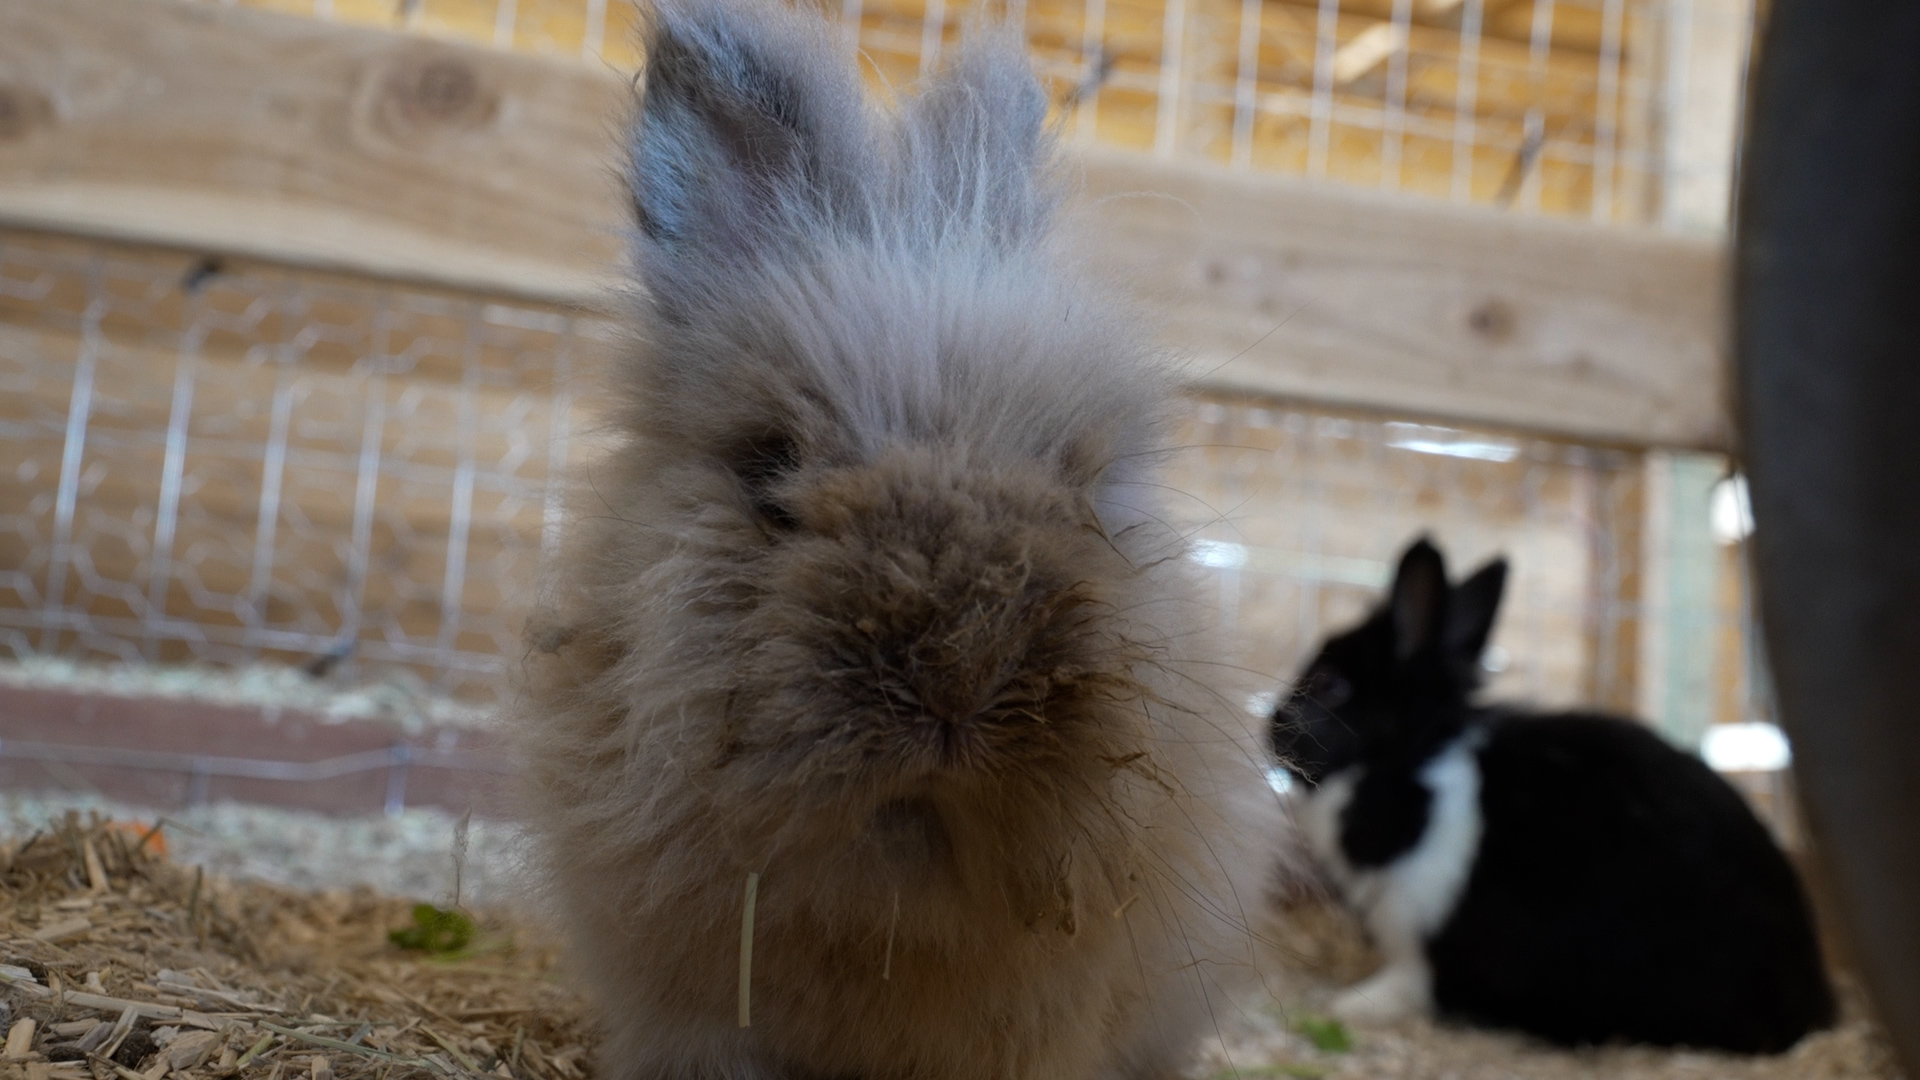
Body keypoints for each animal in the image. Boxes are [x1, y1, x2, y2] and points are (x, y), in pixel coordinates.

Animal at [1270, 536, 1835, 1053]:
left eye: (1332, 685)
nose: (1271, 726)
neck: (1409, 765)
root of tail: (1813, 1003)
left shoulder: (1424, 927)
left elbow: (1411, 982)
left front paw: (1349, 1004)